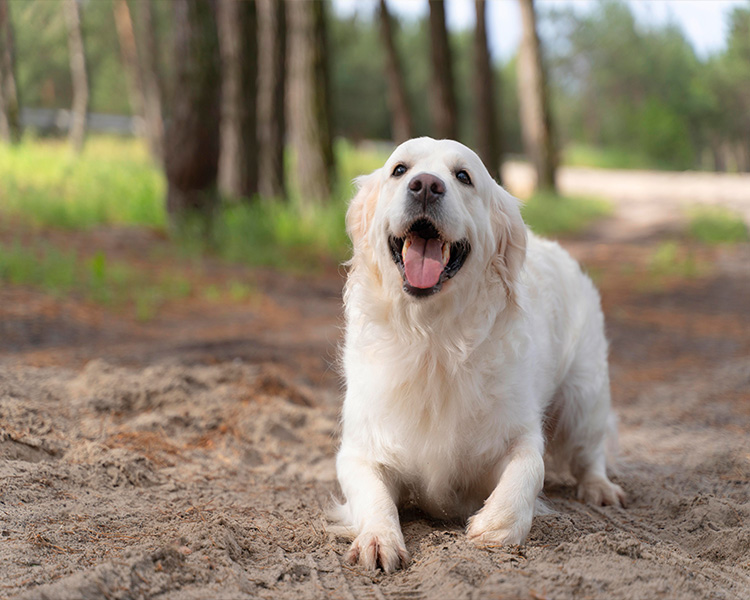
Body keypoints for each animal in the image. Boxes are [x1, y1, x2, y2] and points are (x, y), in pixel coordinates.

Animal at [336, 136, 628, 572]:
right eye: (400, 170)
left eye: (463, 176)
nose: (426, 186)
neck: (434, 340)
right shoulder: (359, 447)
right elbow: (372, 494)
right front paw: (378, 539)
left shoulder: (518, 431)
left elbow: (530, 467)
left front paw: (495, 526)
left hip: (584, 395)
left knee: (590, 450)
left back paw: (600, 488)